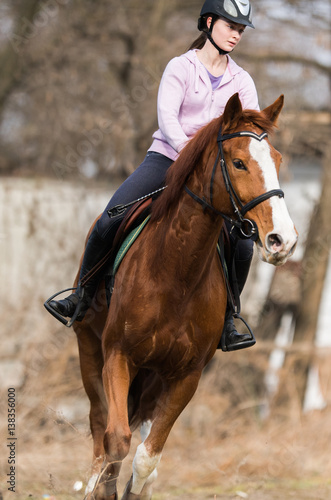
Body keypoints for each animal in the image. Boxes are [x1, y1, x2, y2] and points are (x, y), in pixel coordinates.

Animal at [73, 94, 298, 500]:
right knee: (100, 427)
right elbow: (116, 440)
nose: (282, 240)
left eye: (277, 160)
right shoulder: (118, 356)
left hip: (153, 377)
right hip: (90, 350)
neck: (175, 275)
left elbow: (147, 457)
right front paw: (103, 489)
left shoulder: (186, 377)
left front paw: (134, 488)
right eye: (238, 162)